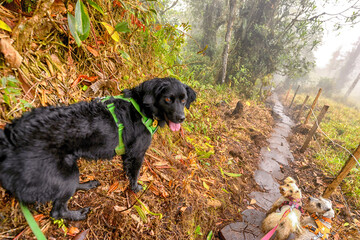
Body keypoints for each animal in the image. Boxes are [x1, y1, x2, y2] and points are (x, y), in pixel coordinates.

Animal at [0, 78, 197, 220]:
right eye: (168, 99)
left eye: (183, 100)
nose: (181, 118)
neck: (142, 107)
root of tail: (10, 140)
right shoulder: (137, 153)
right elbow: (135, 173)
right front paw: (135, 189)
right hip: (65, 172)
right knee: (57, 211)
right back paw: (78, 215)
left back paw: (87, 184)